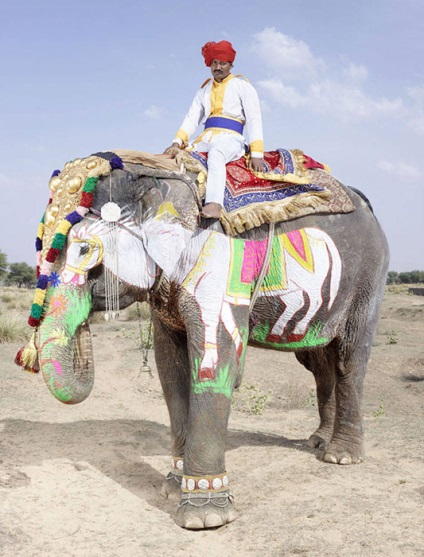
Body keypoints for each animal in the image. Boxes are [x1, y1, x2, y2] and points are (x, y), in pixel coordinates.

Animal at [19, 151, 390, 528]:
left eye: (84, 250)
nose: (27, 354)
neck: (155, 173)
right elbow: (170, 367)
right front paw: (173, 489)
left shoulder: (219, 266)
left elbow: (217, 356)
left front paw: (204, 517)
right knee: (319, 364)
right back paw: (317, 443)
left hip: (368, 280)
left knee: (347, 358)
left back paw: (340, 457)